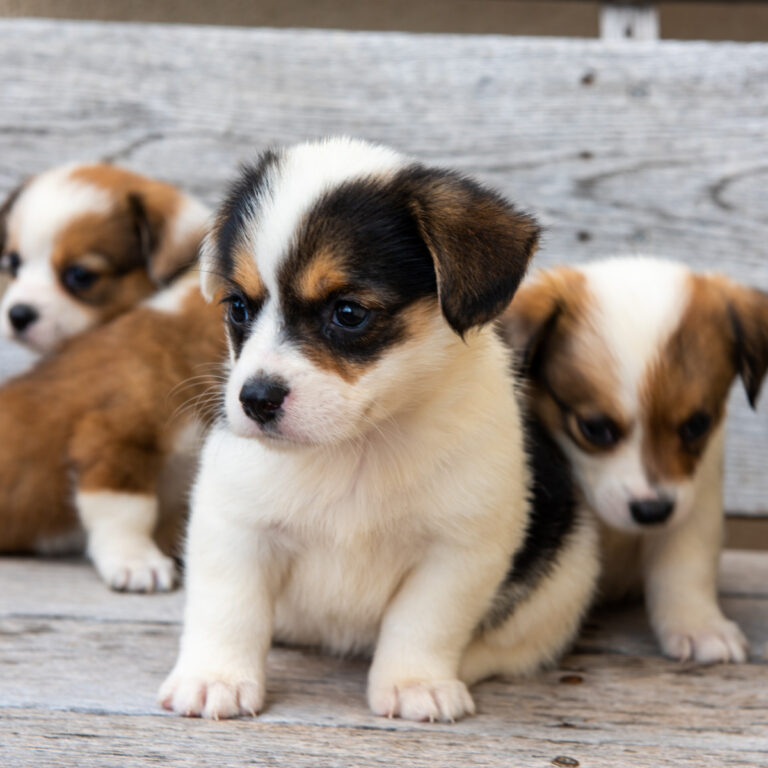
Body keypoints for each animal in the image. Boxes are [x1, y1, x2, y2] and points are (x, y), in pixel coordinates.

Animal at [158, 140, 600, 728]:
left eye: (348, 313)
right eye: (238, 307)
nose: (255, 400)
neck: (356, 448)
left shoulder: (457, 552)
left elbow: (424, 623)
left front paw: (416, 683)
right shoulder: (234, 527)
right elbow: (229, 609)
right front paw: (217, 678)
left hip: (568, 574)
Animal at [500, 255, 768, 664]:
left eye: (696, 425)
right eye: (595, 429)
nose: (652, 512)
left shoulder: (694, 495)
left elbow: (684, 564)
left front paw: (699, 624)